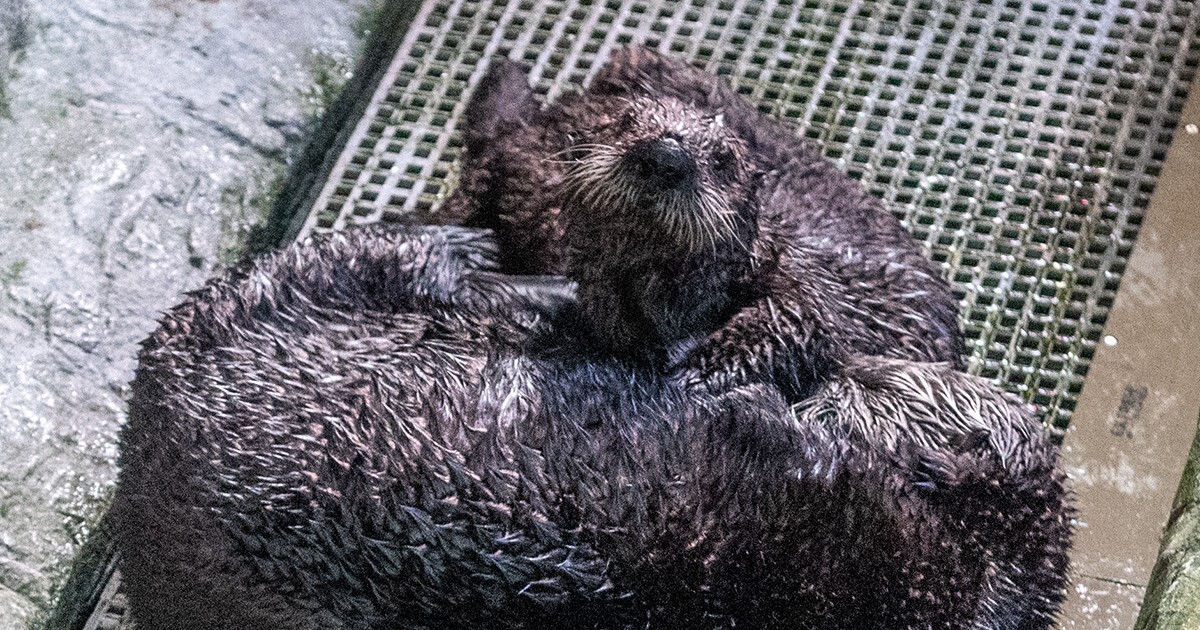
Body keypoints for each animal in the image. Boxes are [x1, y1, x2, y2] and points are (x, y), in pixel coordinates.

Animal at [439, 47, 963, 401]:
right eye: (626, 123)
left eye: (723, 160)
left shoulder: (800, 276)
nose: (665, 156)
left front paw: (693, 373)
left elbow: (799, 320)